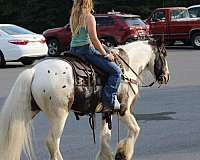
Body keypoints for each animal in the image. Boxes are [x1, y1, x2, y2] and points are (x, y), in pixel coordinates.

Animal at [0, 39, 169, 160]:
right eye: (164, 54)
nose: (166, 77)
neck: (124, 70)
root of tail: (34, 71)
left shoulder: (106, 112)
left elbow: (105, 136)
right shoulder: (123, 110)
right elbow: (135, 129)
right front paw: (122, 154)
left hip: (27, 112)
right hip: (59, 115)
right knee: (52, 142)